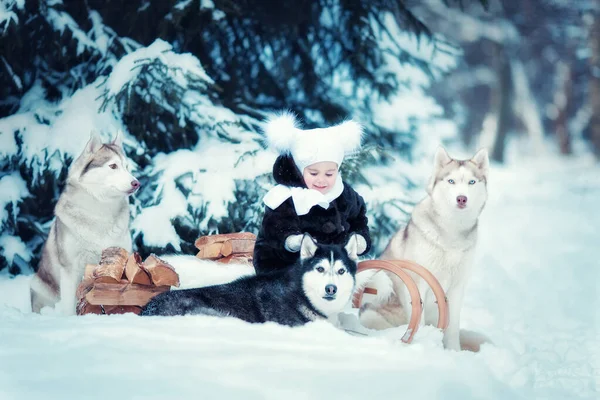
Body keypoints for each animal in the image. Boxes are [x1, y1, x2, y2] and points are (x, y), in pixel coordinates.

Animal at [30, 133, 141, 314]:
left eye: (126, 167)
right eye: (113, 166)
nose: (137, 183)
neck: (100, 211)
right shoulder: (70, 269)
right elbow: (69, 304)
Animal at [358, 147, 490, 350]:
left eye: (472, 182)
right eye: (451, 181)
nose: (461, 198)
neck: (451, 234)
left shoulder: (457, 288)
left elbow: (452, 329)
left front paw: (454, 352)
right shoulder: (418, 283)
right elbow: (418, 319)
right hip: (371, 317)